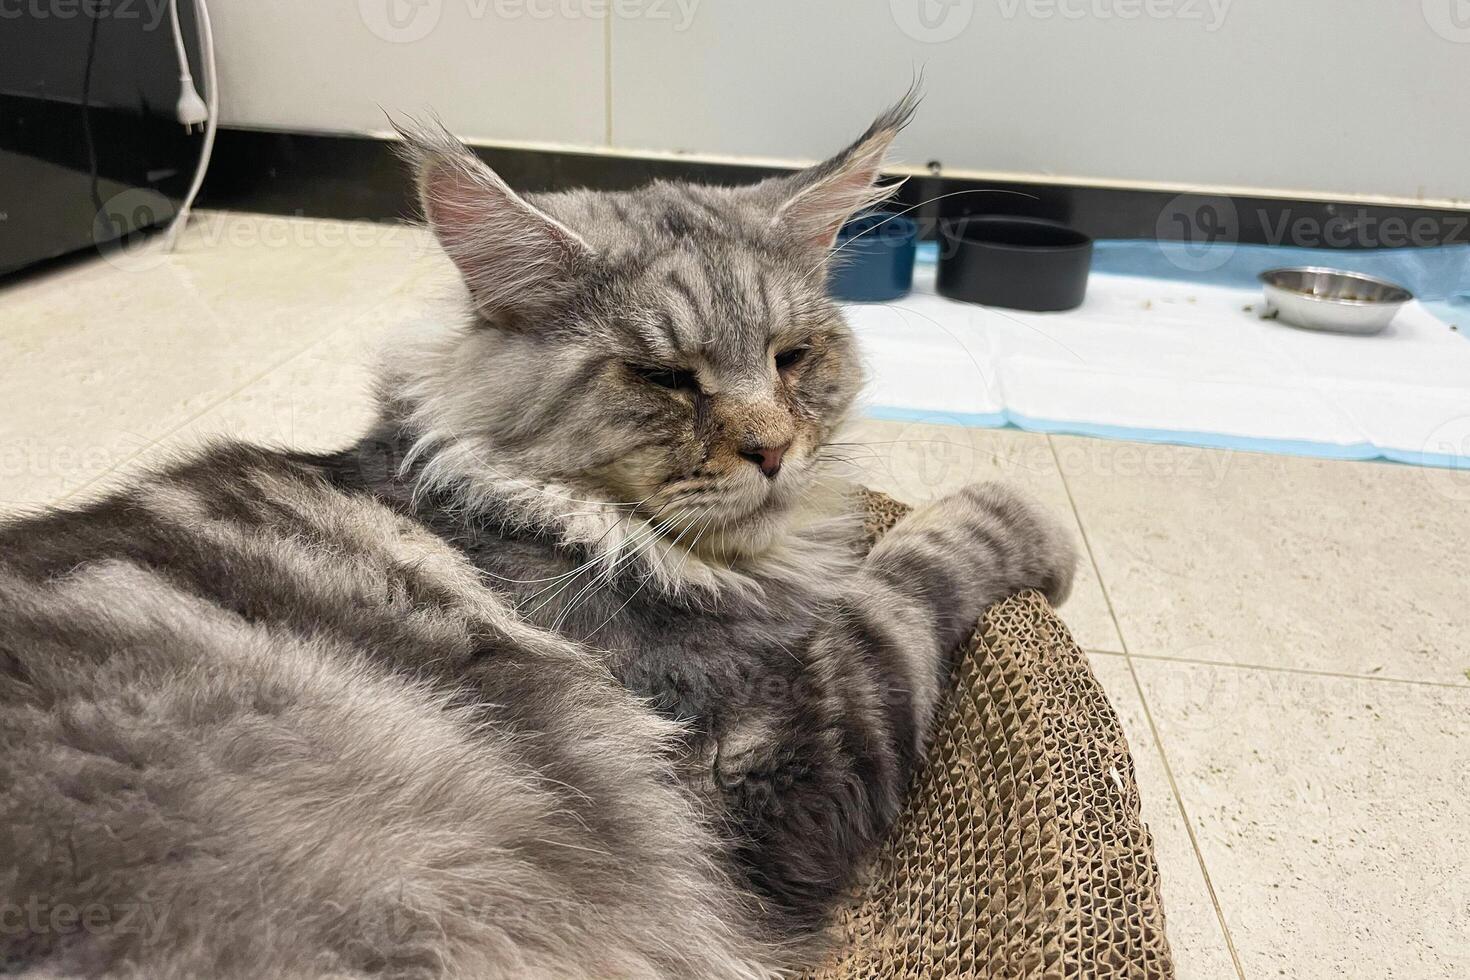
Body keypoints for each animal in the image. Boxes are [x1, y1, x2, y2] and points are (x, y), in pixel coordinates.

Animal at [5, 94, 1076, 980]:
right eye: (664, 379)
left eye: (793, 358)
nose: (774, 451)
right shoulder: (756, 763)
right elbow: (916, 570)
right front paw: (1038, 528)